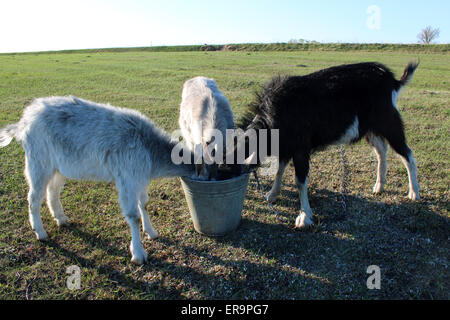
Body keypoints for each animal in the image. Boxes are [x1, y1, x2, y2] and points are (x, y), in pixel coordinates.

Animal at [0, 95, 197, 264]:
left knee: (52, 191)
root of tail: (24, 121)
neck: (149, 148)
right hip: (38, 161)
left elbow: (144, 204)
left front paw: (152, 232)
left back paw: (61, 218)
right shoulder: (127, 177)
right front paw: (139, 254)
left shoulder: (139, 177)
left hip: (59, 167)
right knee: (33, 197)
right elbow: (133, 215)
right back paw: (40, 233)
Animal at [241, 61, 420, 229]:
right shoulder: (286, 145)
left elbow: (299, 181)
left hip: (388, 122)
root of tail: (392, 80)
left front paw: (304, 217)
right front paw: (272, 195)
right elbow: (280, 170)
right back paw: (379, 186)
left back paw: (413, 193)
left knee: (407, 154)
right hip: (370, 129)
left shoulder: (300, 148)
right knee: (382, 151)